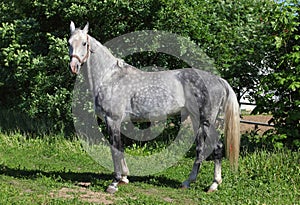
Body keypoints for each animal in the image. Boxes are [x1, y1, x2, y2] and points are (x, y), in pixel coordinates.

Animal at [68, 22, 241, 194]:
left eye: (84, 43)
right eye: (69, 43)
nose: (73, 66)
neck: (109, 77)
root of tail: (218, 80)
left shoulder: (112, 120)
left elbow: (115, 148)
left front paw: (114, 182)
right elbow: (120, 148)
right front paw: (124, 178)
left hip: (206, 121)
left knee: (217, 147)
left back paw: (214, 184)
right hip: (196, 120)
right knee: (200, 149)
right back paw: (188, 182)